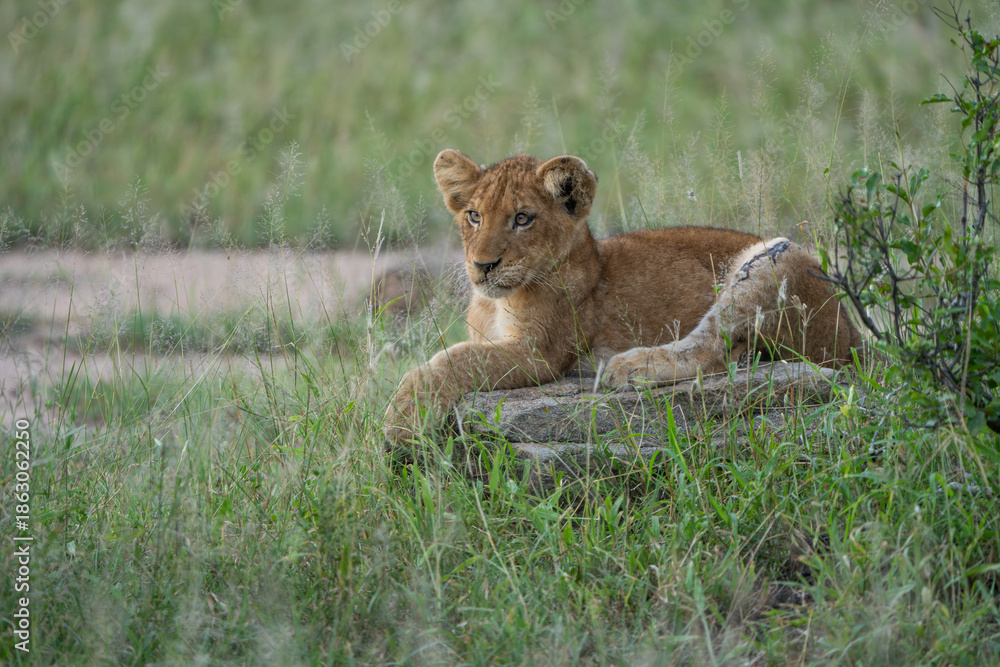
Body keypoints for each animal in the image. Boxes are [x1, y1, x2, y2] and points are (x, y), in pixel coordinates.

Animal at [383, 149, 862, 444]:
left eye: (522, 218)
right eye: (473, 216)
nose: (483, 264)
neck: (493, 301)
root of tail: (855, 339)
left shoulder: (541, 353)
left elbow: (454, 359)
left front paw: (401, 417)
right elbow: (457, 353)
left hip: (776, 257)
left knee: (712, 347)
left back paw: (627, 367)